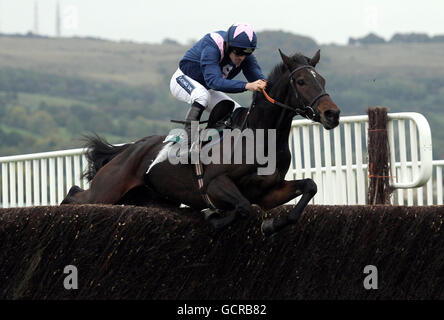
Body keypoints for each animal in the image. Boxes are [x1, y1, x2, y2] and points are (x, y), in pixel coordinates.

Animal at [61, 48, 340, 236]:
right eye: (302, 81)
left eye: (323, 80)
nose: (332, 114)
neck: (260, 139)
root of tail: (130, 148)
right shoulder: (215, 183)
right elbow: (242, 207)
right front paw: (213, 216)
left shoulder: (268, 193)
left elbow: (309, 187)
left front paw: (271, 225)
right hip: (107, 190)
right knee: (75, 194)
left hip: (147, 198)